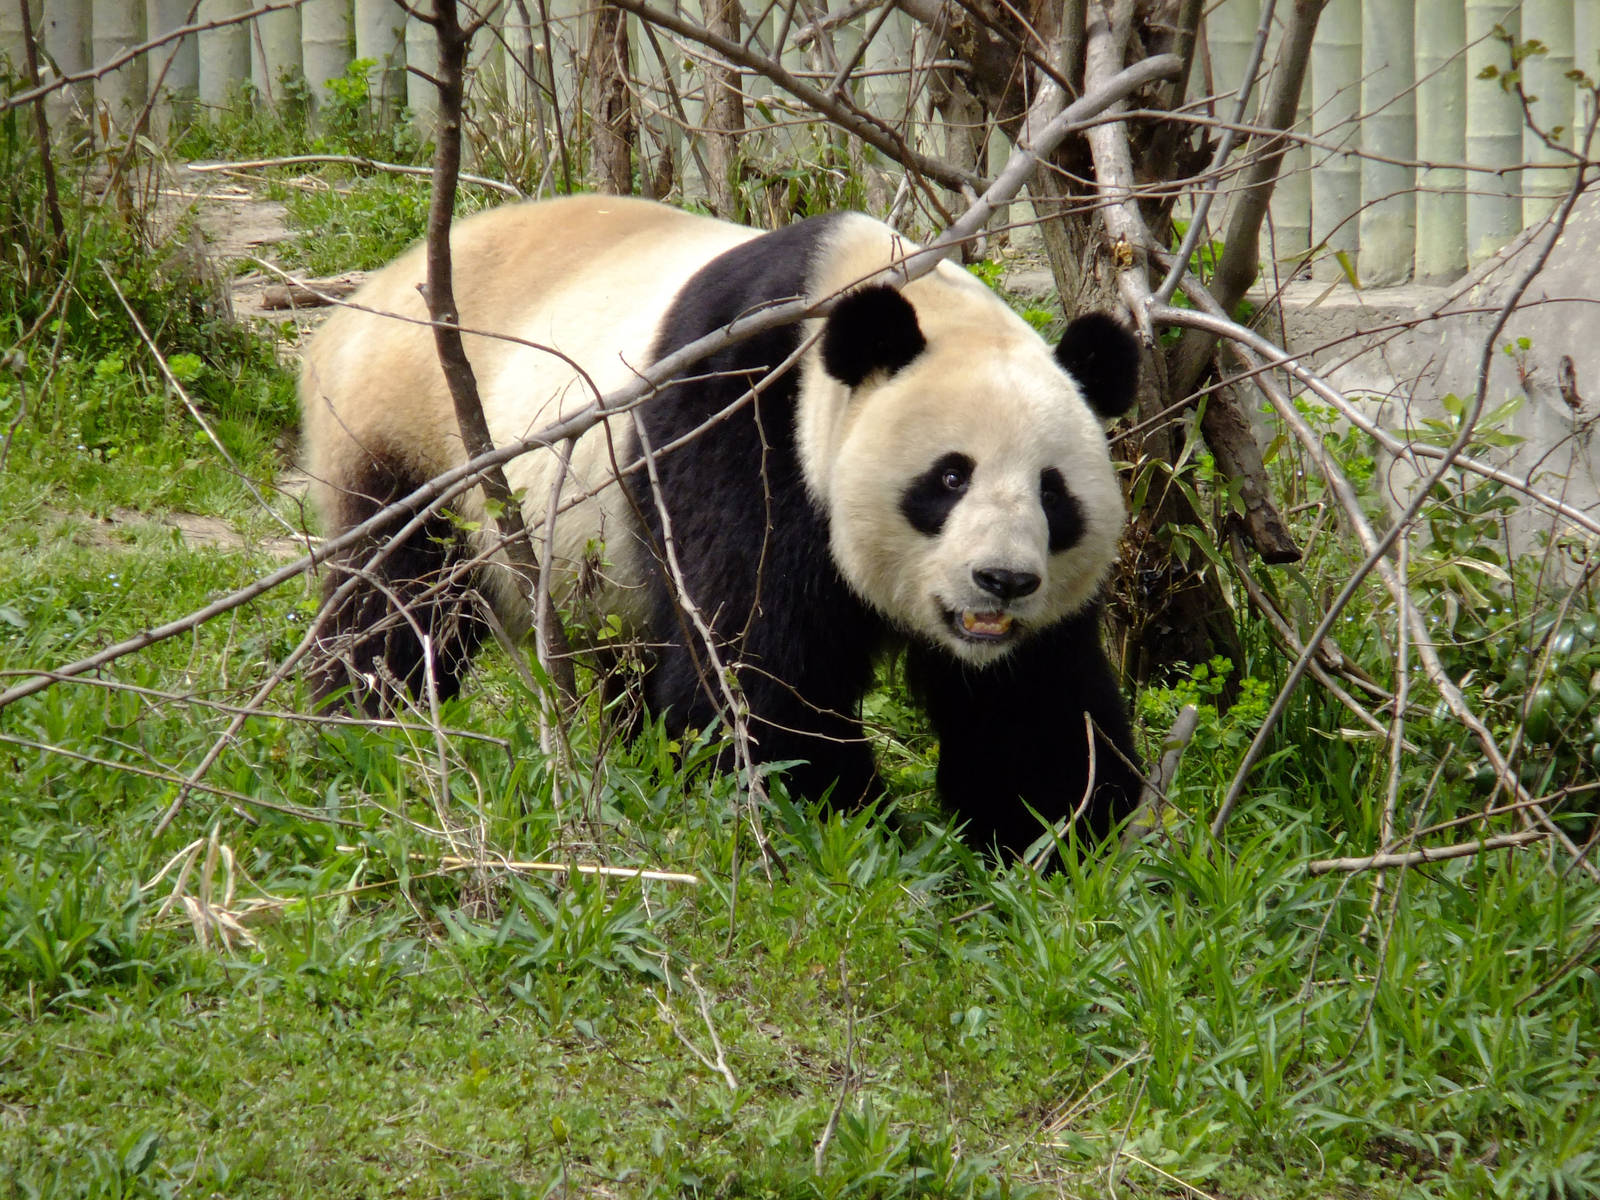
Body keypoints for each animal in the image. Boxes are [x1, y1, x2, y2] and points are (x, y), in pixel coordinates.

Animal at [299, 194, 1142, 856]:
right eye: (949, 477)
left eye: (1053, 495)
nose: (1002, 582)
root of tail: (355, 303)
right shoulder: (739, 421)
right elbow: (757, 670)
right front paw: (850, 828)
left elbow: (1032, 702)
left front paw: (1053, 839)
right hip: (409, 432)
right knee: (397, 601)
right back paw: (367, 726)